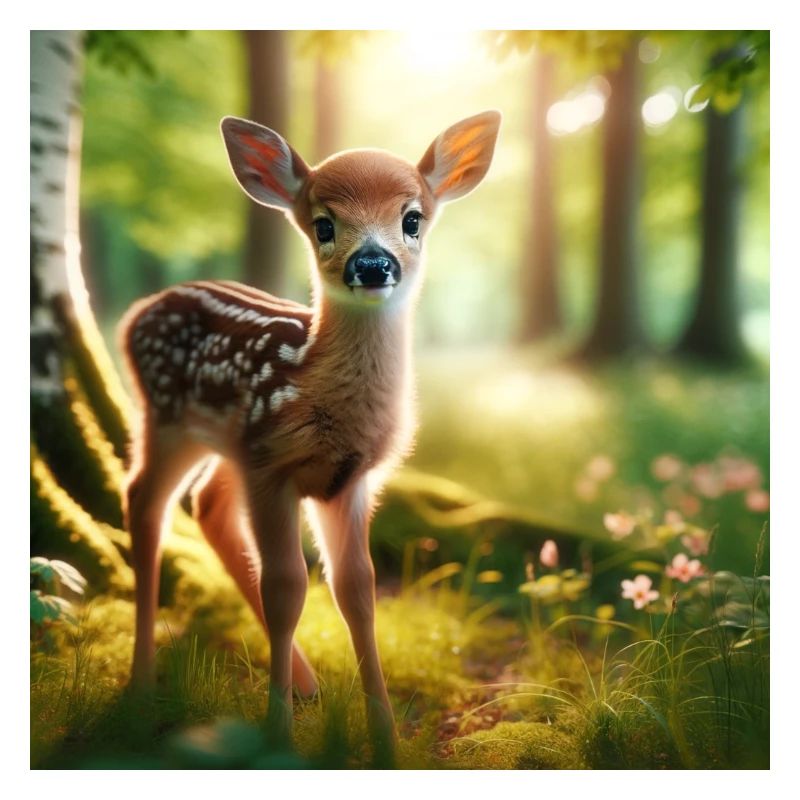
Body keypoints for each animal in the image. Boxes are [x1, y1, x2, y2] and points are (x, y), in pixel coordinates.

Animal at [119, 110, 501, 752]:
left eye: (412, 218)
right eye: (324, 224)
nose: (372, 264)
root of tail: (132, 316)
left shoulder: (347, 479)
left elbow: (357, 591)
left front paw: (384, 740)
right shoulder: (271, 467)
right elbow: (287, 590)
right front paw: (277, 737)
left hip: (225, 443)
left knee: (206, 503)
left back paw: (305, 683)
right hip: (168, 417)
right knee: (145, 500)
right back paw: (143, 681)